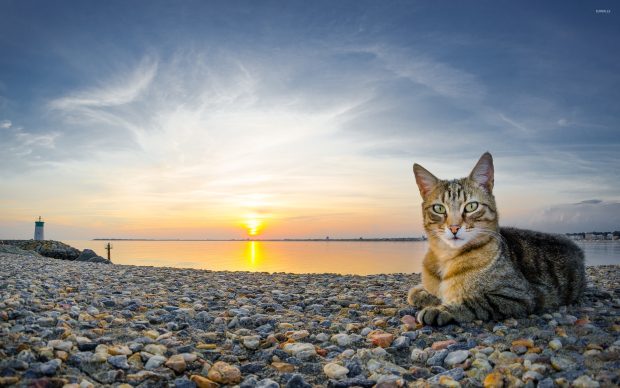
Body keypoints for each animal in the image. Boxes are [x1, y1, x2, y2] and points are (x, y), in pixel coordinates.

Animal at [406, 152, 588, 324]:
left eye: (471, 206)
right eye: (439, 208)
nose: (454, 227)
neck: (446, 256)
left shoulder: (520, 295)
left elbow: (474, 300)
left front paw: (442, 309)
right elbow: (418, 292)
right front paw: (424, 293)